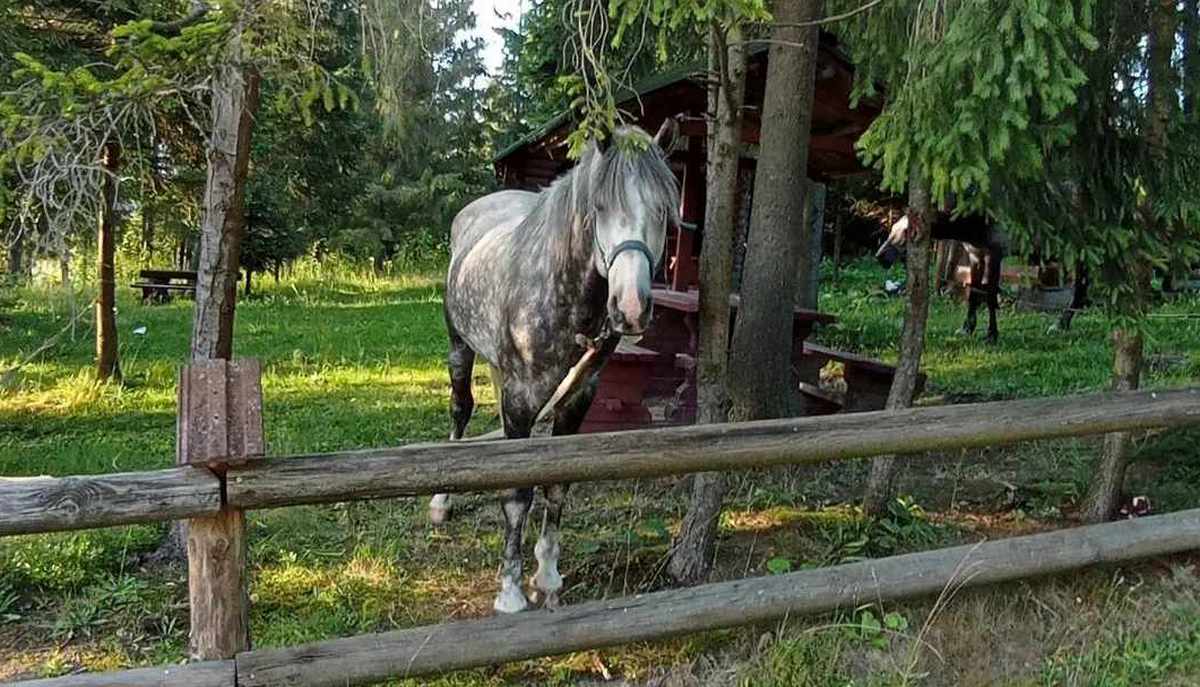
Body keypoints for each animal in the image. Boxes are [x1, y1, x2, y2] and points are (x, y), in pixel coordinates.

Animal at [436, 121, 681, 612]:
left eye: (663, 209)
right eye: (600, 206)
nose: (631, 308)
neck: (562, 296)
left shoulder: (577, 397)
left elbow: (557, 482)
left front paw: (547, 578)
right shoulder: (521, 397)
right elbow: (518, 494)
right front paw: (510, 591)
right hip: (460, 348)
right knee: (460, 409)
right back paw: (441, 501)